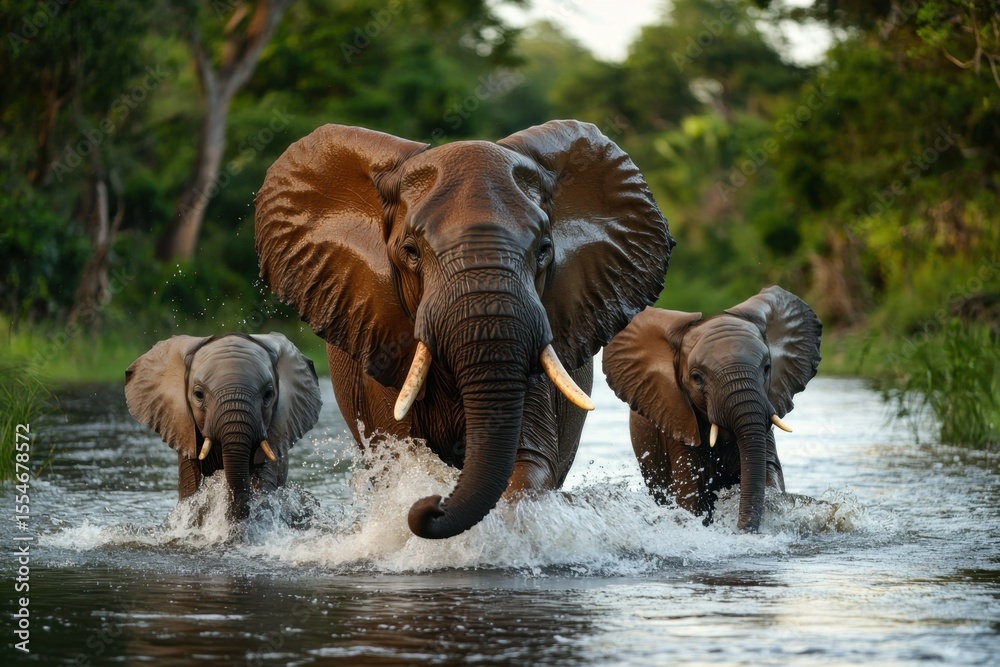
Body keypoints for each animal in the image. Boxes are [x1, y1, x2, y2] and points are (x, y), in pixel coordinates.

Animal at [602, 286, 822, 532]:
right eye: (696, 378)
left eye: (767, 368)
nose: (741, 529)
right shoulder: (676, 418)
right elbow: (691, 490)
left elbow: (768, 470)